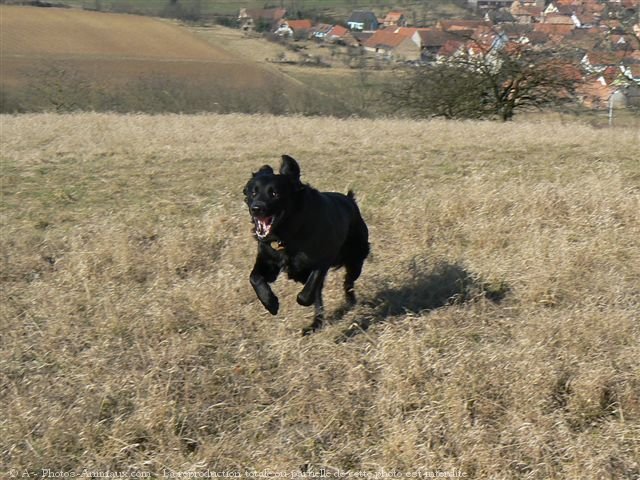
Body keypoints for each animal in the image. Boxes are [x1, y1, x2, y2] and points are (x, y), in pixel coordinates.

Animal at [242, 155, 370, 334]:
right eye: (253, 192)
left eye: (274, 193)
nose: (256, 208)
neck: (288, 235)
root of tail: (350, 200)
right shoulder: (267, 259)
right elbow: (254, 278)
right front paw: (271, 304)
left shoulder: (322, 260)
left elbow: (308, 292)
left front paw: (301, 300)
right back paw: (315, 325)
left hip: (356, 258)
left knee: (348, 283)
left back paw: (349, 302)